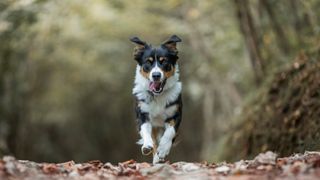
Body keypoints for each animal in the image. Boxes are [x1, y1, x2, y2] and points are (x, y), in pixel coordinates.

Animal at [129, 35, 182, 165]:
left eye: (164, 62)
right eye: (148, 62)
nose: (156, 75)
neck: (157, 96)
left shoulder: (176, 115)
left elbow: (170, 133)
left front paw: (163, 149)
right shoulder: (142, 114)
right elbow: (145, 131)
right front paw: (147, 145)